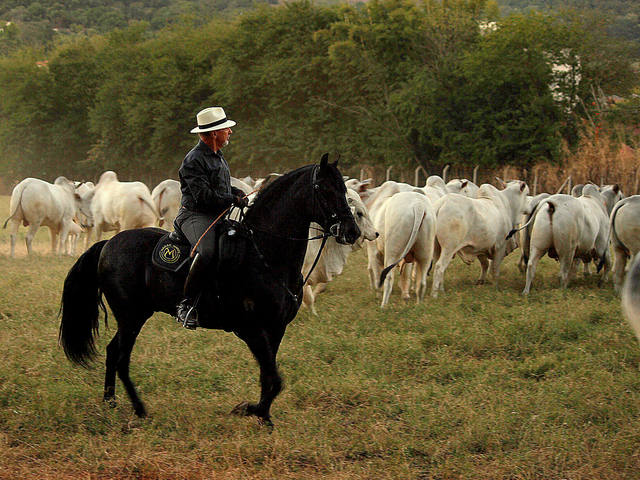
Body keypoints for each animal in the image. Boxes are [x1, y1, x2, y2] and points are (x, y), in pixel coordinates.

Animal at [58, 154, 360, 424]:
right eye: (324, 189)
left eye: (344, 189)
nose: (352, 231)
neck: (264, 254)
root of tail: (108, 245)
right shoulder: (250, 329)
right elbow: (274, 378)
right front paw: (247, 410)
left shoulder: (275, 329)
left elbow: (270, 376)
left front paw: (262, 416)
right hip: (132, 317)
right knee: (121, 358)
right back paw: (139, 409)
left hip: (132, 317)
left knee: (112, 352)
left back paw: (110, 401)